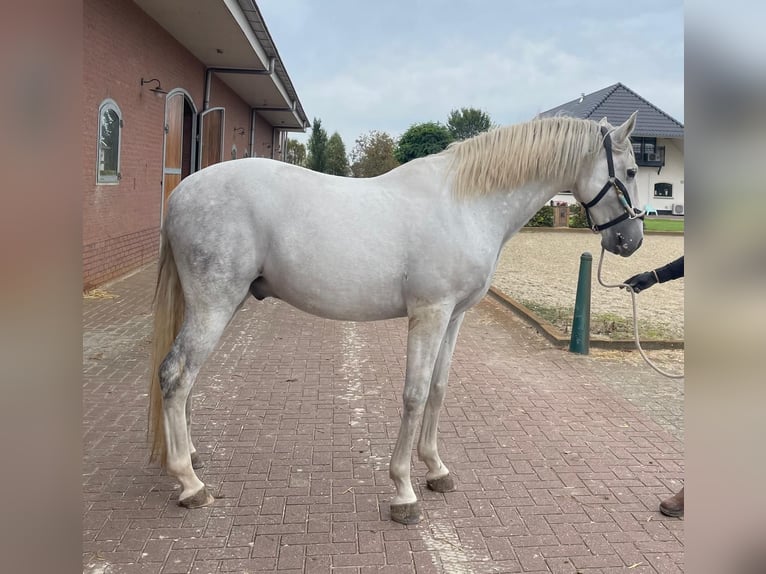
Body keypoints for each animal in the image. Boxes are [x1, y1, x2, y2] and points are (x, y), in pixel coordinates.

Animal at [147, 112, 644, 528]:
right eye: (632, 171)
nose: (632, 239)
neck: (465, 204)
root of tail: (181, 193)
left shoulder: (454, 317)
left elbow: (438, 391)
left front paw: (436, 469)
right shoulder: (430, 313)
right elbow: (414, 395)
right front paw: (404, 490)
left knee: (185, 378)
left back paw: (190, 456)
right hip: (214, 304)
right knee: (176, 374)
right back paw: (190, 483)